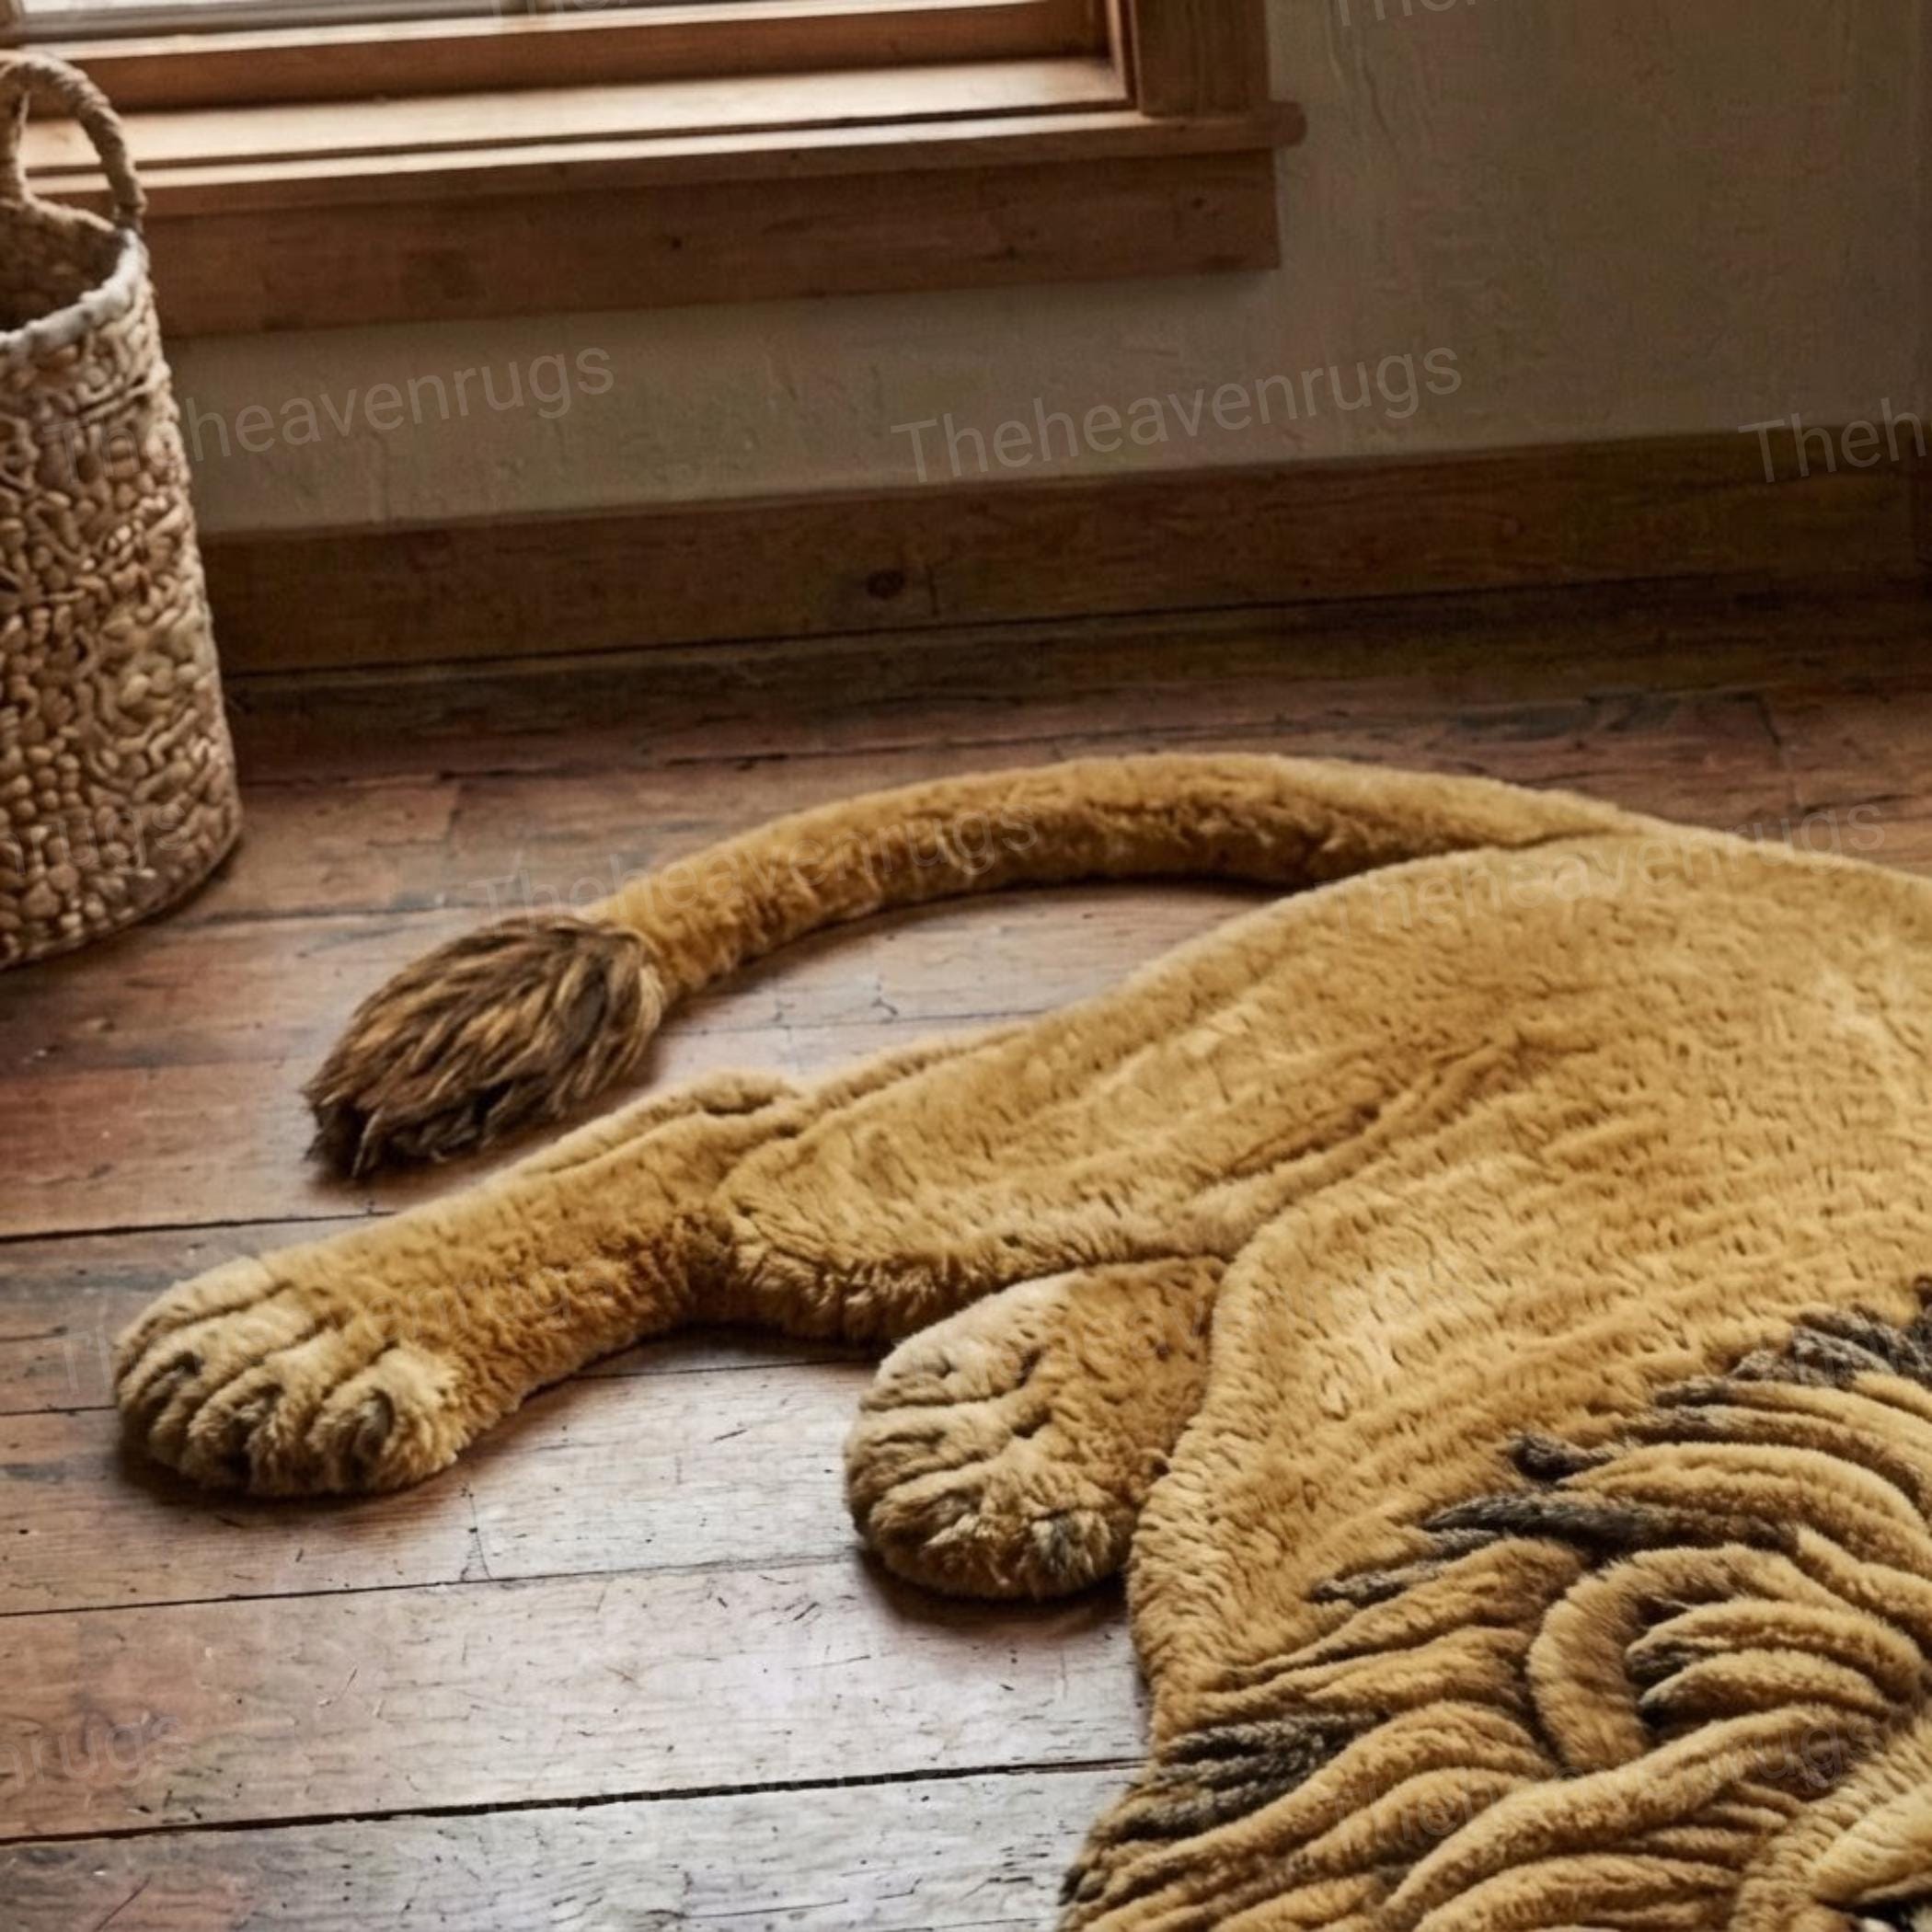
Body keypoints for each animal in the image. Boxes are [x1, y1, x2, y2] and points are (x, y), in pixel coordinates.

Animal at [115, 754, 1932, 1928]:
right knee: (734, 1138)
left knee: (1212, 1288)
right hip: (1168, 1098)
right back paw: (311, 1339)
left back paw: (1007, 1434)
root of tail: (1771, 858)